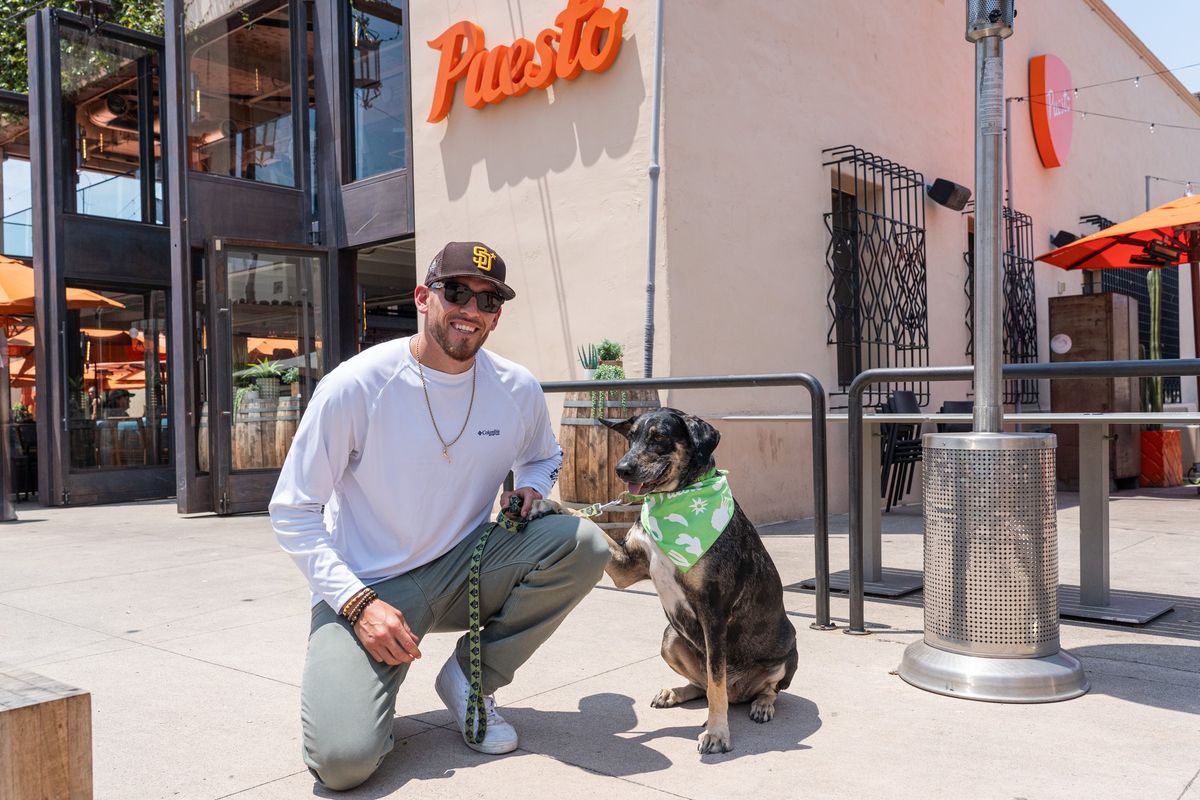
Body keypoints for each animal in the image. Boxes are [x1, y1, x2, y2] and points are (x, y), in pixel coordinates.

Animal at [528, 410, 792, 753]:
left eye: (660, 437)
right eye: (631, 437)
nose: (621, 468)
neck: (672, 500)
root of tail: (740, 694)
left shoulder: (714, 612)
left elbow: (716, 682)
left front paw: (717, 733)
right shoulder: (627, 567)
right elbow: (585, 517)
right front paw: (546, 504)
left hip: (786, 651)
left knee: (761, 688)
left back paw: (761, 704)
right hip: (670, 638)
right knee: (701, 684)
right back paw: (675, 693)